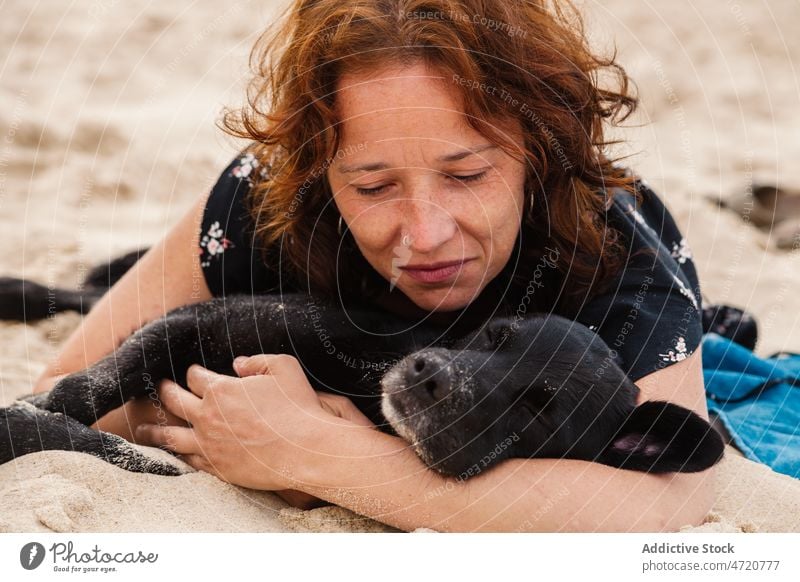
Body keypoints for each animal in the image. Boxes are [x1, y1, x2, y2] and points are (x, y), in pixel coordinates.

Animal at [0, 253, 724, 482]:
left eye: (541, 407)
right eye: (495, 334)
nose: (430, 375)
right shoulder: (198, 321)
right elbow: (98, 377)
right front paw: (44, 411)